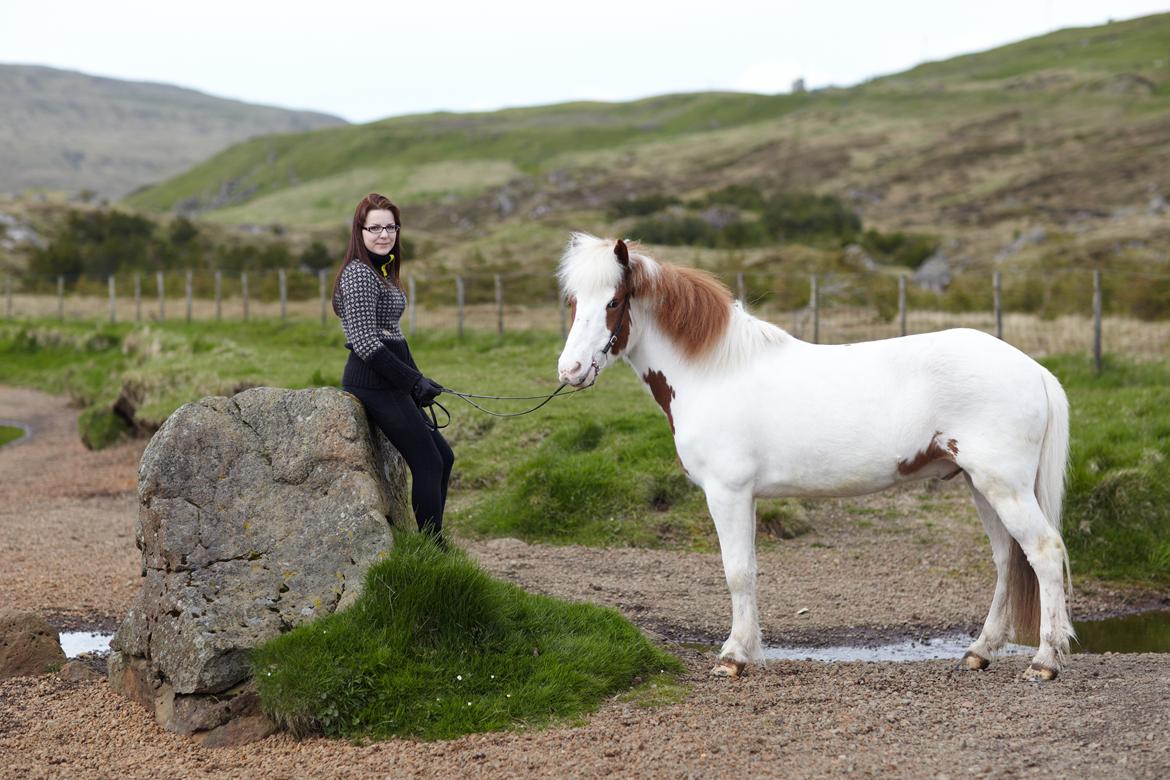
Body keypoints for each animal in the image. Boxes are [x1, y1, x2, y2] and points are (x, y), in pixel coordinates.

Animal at [552, 233, 1071, 682]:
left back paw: (1044, 661)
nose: (570, 370)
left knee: (1044, 552)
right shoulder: (746, 497)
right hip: (980, 485)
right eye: (573, 302)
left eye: (613, 302)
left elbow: (736, 572)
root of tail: (1033, 368)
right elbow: (750, 571)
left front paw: (732, 658)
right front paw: (748, 650)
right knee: (1007, 560)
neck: (714, 372)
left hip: (1003, 487)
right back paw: (980, 651)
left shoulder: (727, 493)